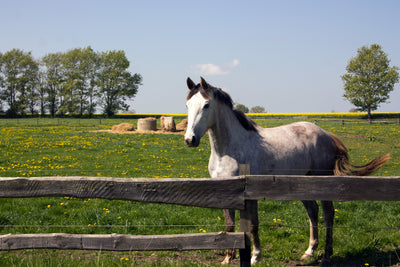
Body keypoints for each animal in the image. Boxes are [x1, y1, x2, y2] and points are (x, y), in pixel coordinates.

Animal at [184, 77, 390, 266]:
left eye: (206, 105)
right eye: (187, 105)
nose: (189, 140)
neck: (228, 150)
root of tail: (326, 135)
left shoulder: (250, 194)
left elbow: (253, 224)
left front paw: (255, 256)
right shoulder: (225, 193)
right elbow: (229, 226)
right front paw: (228, 258)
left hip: (322, 182)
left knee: (328, 213)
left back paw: (326, 255)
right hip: (303, 183)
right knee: (313, 211)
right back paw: (309, 251)